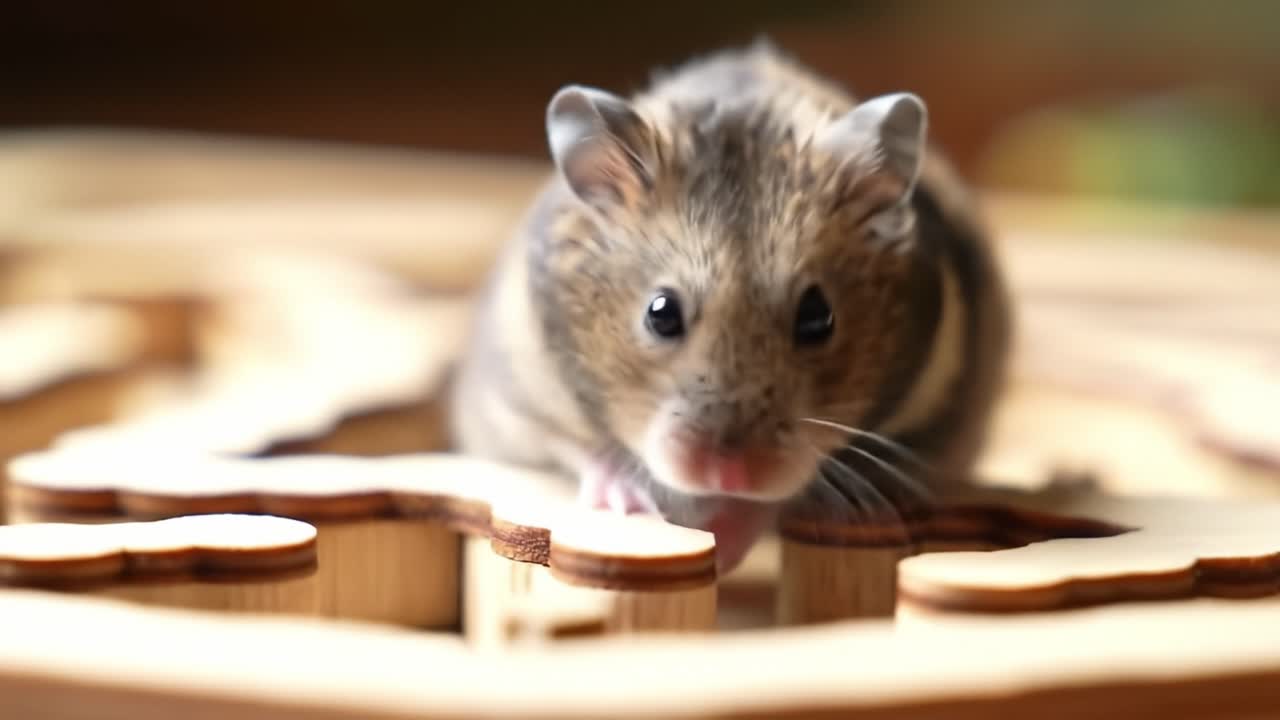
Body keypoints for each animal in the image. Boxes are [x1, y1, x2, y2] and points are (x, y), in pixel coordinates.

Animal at [450, 41, 1012, 574]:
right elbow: (584, 448)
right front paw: (629, 505)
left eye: (818, 318)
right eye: (660, 313)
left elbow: (773, 502)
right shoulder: (521, 396)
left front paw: (724, 543)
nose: (730, 474)